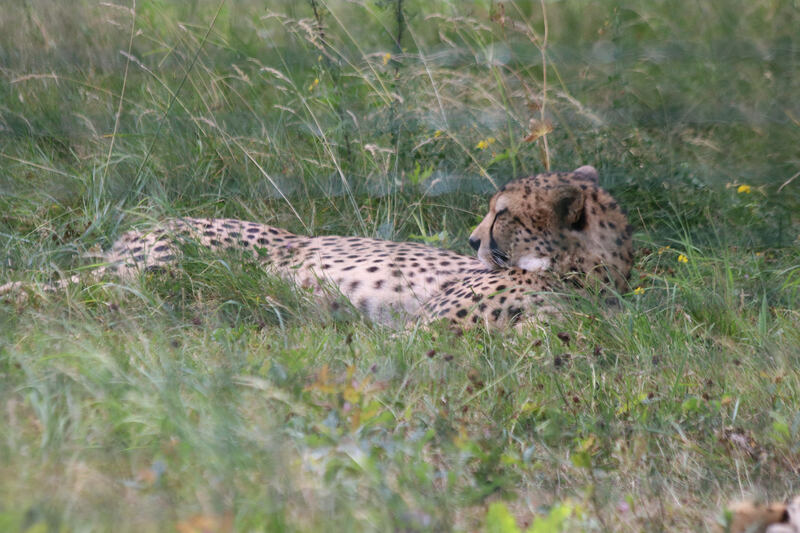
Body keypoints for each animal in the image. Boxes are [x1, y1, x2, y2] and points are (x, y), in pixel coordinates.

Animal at [3, 164, 636, 326]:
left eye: (502, 213)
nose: (473, 238)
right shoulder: (431, 328)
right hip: (163, 270)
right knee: (59, 289)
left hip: (158, 284)